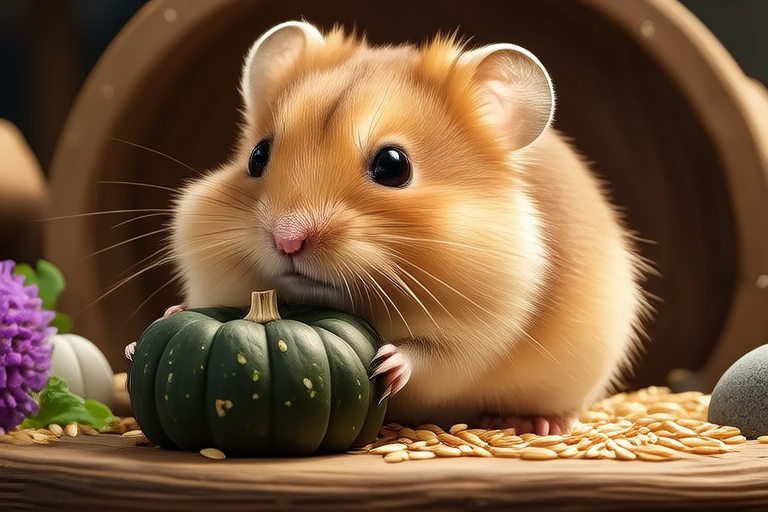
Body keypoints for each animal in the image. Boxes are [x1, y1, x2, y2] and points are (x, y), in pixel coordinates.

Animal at [168, 21, 650, 435]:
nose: (287, 240)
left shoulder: (479, 336)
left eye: (393, 166)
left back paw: (531, 424)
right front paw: (169, 315)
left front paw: (387, 364)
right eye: (257, 156)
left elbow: (433, 360)